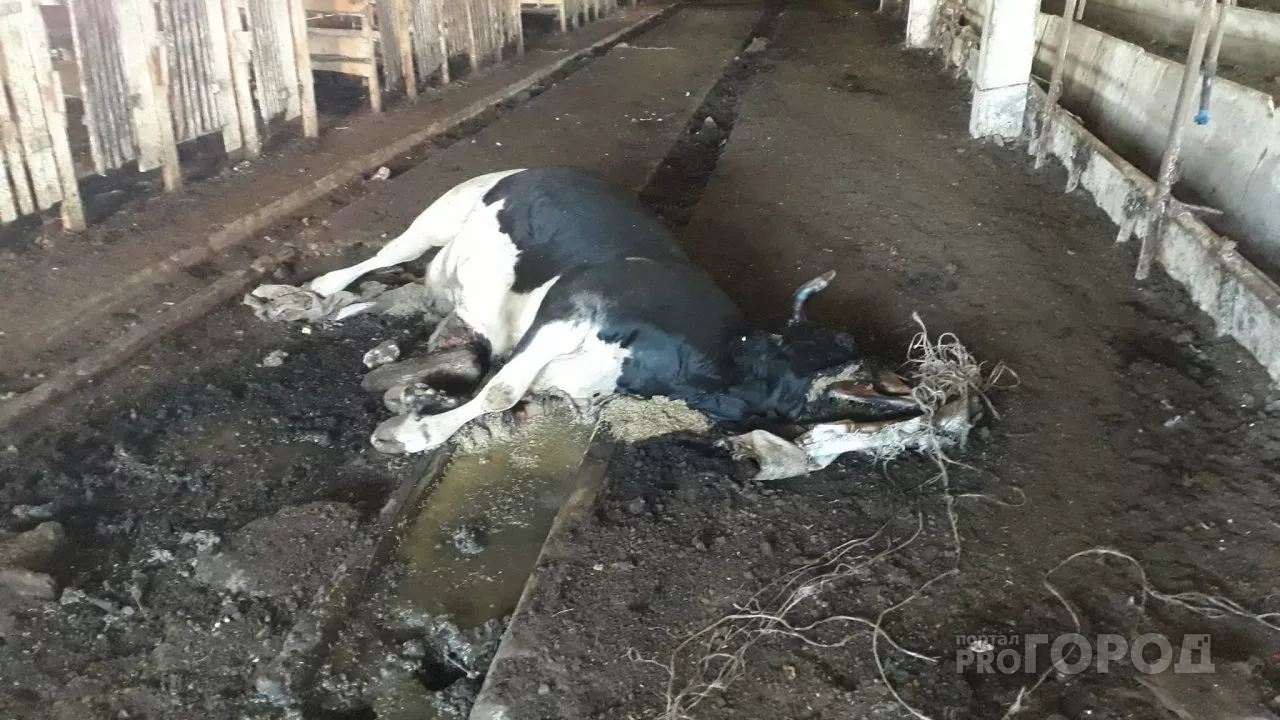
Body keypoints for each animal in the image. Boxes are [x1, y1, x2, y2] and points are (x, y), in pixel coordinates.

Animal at [302, 166, 919, 455]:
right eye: (847, 351)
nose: (909, 380)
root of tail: (535, 168)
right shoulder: (575, 304)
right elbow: (501, 391)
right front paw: (421, 433)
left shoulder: (574, 384)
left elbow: (510, 393)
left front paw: (419, 410)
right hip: (446, 209)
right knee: (387, 253)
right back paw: (321, 286)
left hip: (444, 276)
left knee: (404, 295)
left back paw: (342, 314)